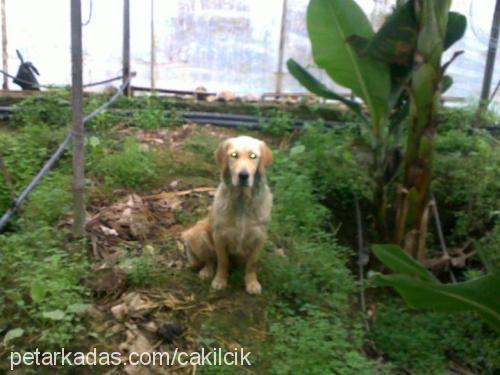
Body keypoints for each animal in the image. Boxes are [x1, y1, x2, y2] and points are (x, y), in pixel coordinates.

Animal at [181, 137, 274, 296]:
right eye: (234, 155)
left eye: (253, 156)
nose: (243, 176)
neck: (242, 200)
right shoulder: (220, 236)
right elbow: (223, 261)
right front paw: (220, 280)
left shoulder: (259, 236)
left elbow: (252, 263)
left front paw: (252, 283)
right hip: (198, 233)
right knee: (210, 259)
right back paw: (206, 271)